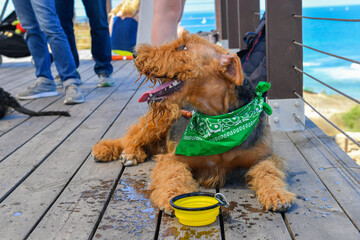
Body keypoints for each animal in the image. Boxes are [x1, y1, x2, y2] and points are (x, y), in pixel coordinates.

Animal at [92, 31, 296, 214]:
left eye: (183, 47)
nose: (134, 53)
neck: (217, 119)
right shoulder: (173, 158)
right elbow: (174, 175)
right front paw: (171, 196)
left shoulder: (264, 157)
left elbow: (269, 172)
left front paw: (277, 195)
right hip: (160, 121)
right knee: (130, 138)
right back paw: (121, 152)